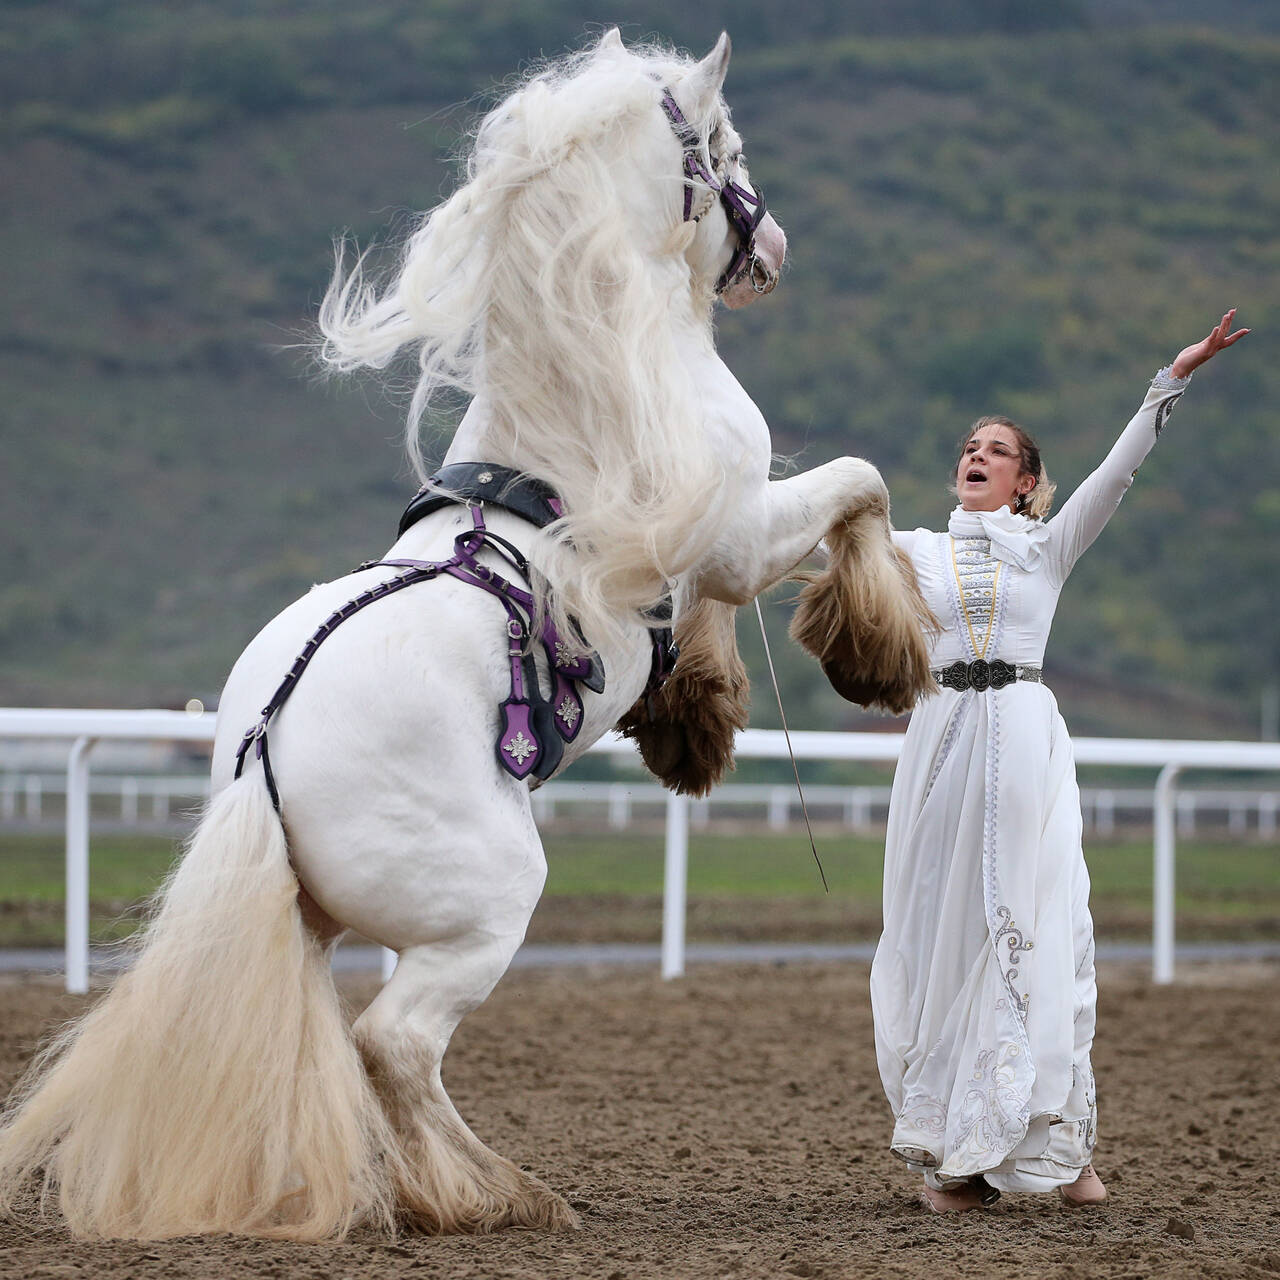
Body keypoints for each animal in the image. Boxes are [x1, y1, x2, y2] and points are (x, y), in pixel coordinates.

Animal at [2, 35, 942, 1244]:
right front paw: (874, 653)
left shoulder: (702, 543)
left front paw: (694, 719)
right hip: (485, 906)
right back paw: (495, 1194)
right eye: (724, 144)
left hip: (323, 923)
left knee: (352, 1045)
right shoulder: (734, 529)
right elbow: (858, 489)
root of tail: (266, 748)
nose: (772, 244)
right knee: (391, 1043)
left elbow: (707, 615)